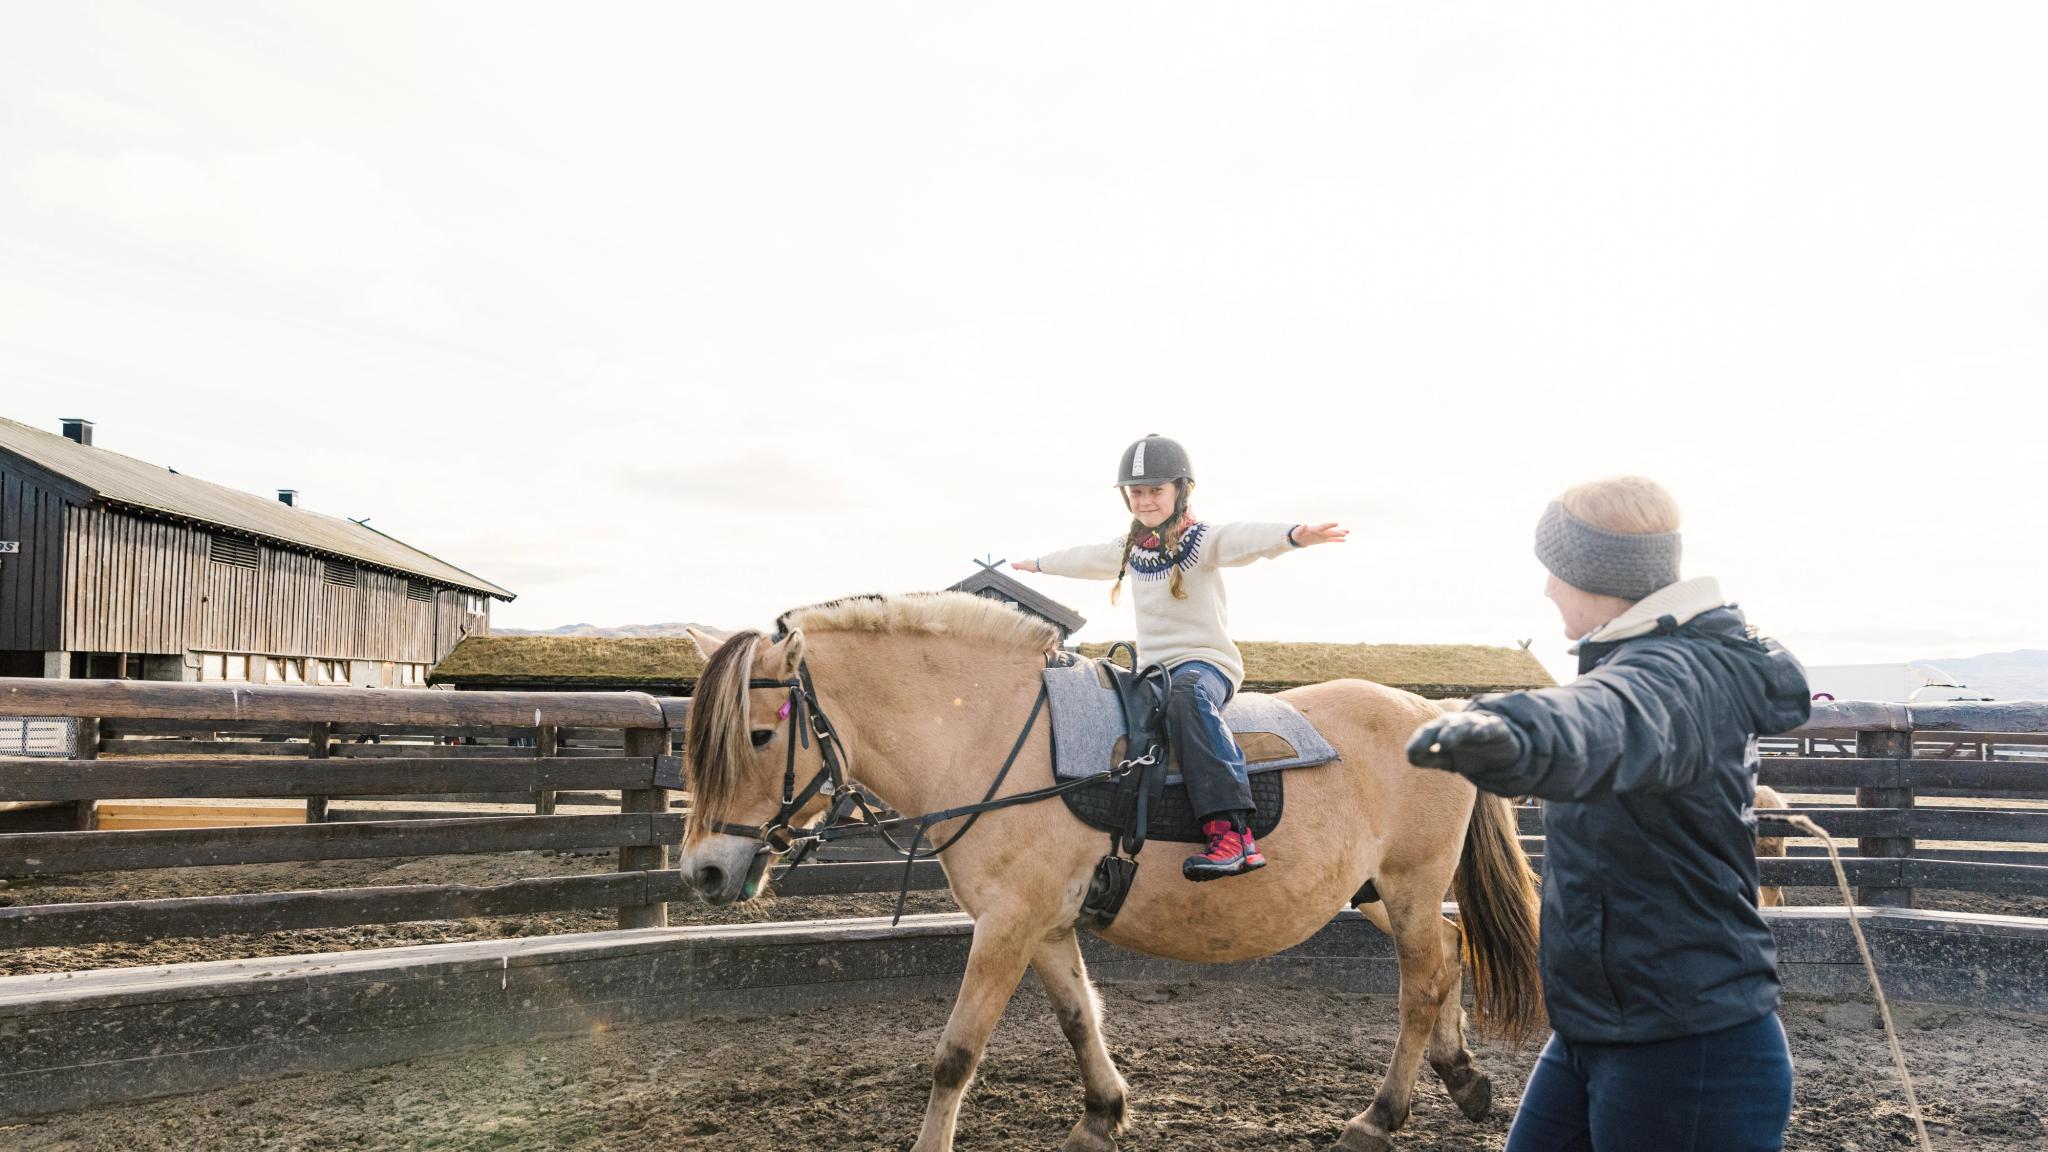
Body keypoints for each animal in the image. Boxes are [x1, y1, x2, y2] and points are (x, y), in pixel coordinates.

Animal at [680, 591, 1542, 1152]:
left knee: (1420, 984)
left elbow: (956, 1052)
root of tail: (1440, 712)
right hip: (1379, 893)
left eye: (759, 735)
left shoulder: (1007, 923)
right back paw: (1462, 1077)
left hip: (1408, 881)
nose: (705, 873)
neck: (991, 736)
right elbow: (1077, 1017)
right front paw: (1103, 1113)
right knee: (1449, 953)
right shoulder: (1043, 923)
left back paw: (1380, 1116)